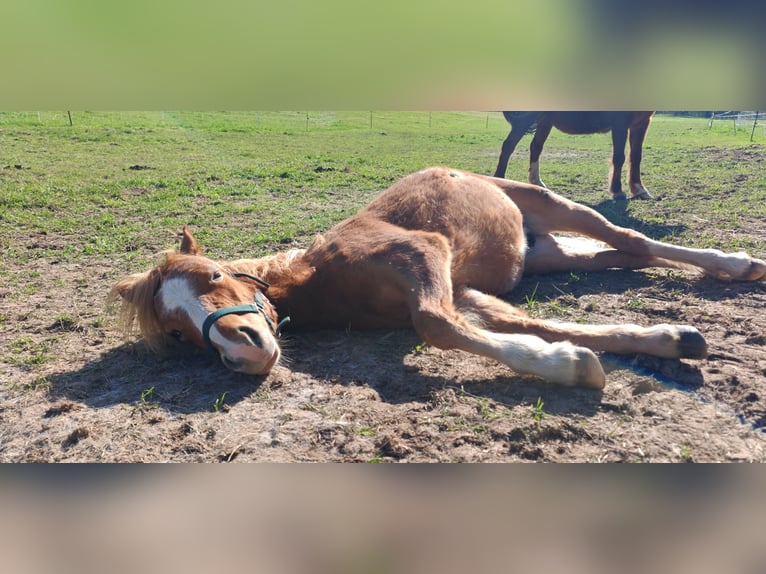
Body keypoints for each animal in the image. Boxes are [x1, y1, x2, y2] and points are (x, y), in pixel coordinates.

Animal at [110, 167, 765, 389]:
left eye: (214, 273)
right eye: (176, 334)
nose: (243, 352)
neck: (324, 274)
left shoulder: (425, 257)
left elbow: (434, 325)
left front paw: (571, 368)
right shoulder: (466, 291)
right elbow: (538, 325)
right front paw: (669, 339)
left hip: (552, 204)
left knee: (631, 240)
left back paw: (739, 264)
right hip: (549, 256)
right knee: (623, 259)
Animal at [494, 112, 655, 200]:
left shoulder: (641, 123)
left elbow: (636, 157)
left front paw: (639, 189)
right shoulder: (620, 123)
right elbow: (619, 157)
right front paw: (617, 191)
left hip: (546, 121)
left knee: (536, 147)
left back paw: (537, 182)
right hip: (526, 119)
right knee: (508, 146)